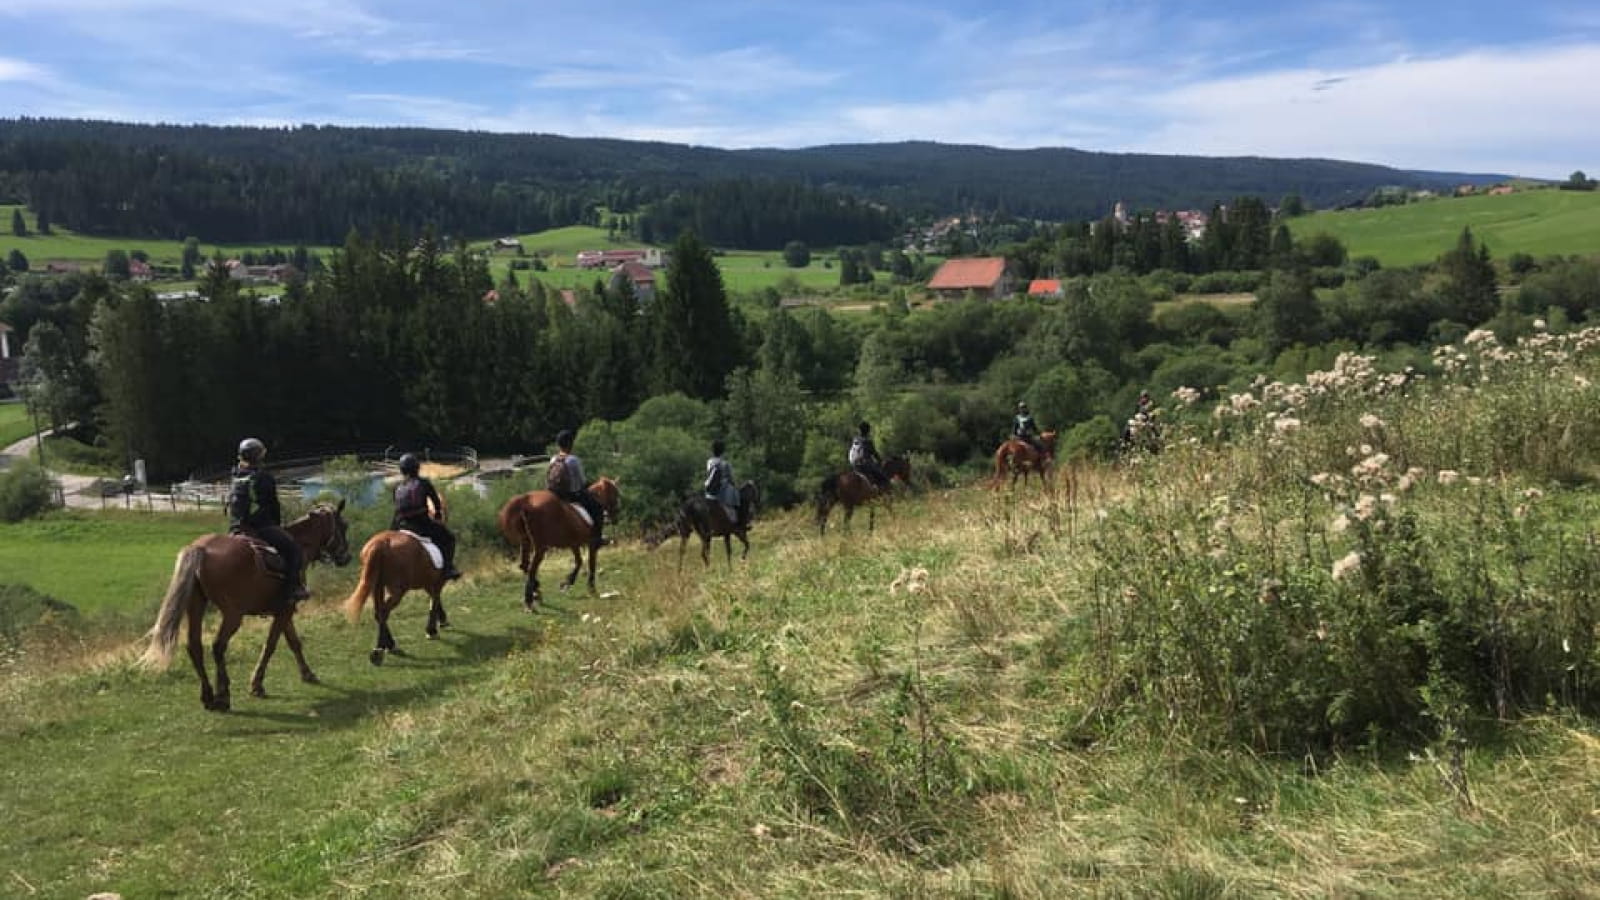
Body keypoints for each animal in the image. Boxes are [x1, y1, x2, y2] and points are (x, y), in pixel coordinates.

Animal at [141, 496, 353, 707]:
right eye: (344, 525)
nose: (346, 557)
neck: (300, 544)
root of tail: (201, 548)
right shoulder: (285, 610)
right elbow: (271, 645)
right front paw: (257, 684)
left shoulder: (284, 610)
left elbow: (294, 642)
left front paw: (307, 673)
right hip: (233, 615)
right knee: (218, 646)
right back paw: (223, 694)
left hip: (196, 606)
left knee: (194, 646)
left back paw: (208, 695)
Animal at [344, 528, 454, 662]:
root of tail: (382, 543)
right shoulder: (436, 582)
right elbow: (434, 601)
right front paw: (432, 630)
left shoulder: (429, 583)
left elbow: (434, 601)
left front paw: (436, 625)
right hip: (397, 590)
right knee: (383, 612)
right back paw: (379, 651)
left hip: (377, 586)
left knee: (379, 613)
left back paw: (389, 646)